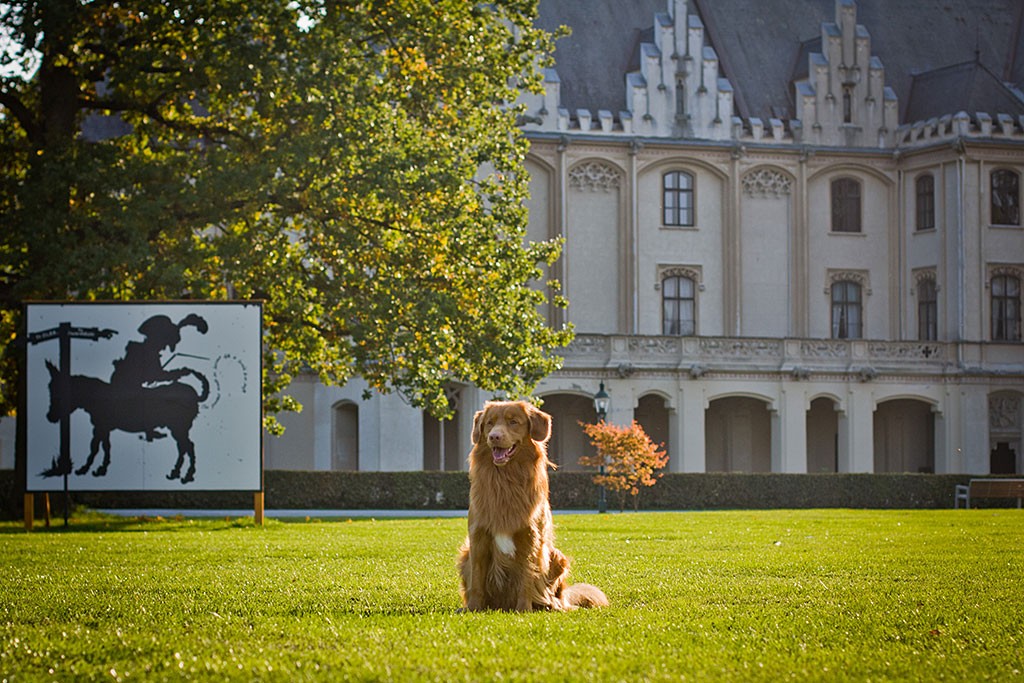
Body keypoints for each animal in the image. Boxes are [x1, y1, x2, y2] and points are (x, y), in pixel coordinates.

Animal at [456, 401, 606, 614]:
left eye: (513, 422)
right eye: (489, 423)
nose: (494, 436)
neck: (505, 480)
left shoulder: (531, 536)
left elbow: (527, 575)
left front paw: (524, 609)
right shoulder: (478, 537)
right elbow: (477, 579)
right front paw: (473, 608)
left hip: (556, 556)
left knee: (555, 595)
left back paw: (552, 606)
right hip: (465, 555)